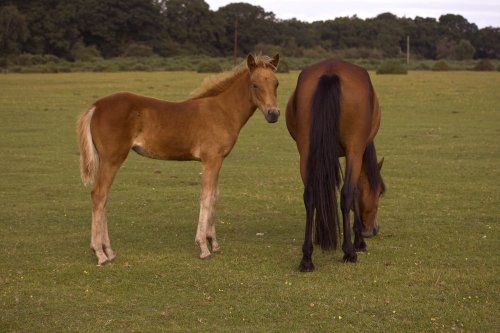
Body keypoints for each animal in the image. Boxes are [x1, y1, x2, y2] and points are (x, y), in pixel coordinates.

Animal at [78, 53, 282, 264]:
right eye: (254, 84)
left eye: (276, 83)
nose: (273, 114)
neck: (222, 111)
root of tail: (96, 106)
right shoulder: (211, 159)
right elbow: (206, 197)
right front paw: (203, 247)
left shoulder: (218, 160)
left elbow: (215, 196)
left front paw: (214, 243)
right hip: (112, 158)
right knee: (99, 194)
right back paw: (100, 253)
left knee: (104, 198)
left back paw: (109, 251)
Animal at [286, 58, 386, 272]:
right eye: (380, 192)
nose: (373, 229)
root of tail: (331, 71)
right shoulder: (354, 153)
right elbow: (354, 192)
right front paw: (359, 241)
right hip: (353, 149)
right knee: (346, 193)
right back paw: (349, 251)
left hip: (306, 151)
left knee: (310, 195)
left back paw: (307, 258)